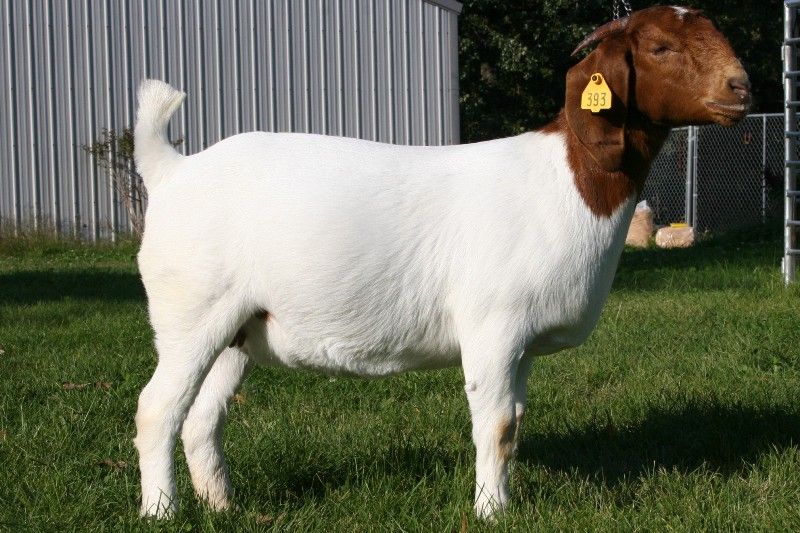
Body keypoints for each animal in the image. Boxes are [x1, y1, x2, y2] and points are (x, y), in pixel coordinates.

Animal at [133, 6, 750, 519]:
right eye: (660, 47)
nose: (740, 87)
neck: (565, 183)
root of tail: (172, 170)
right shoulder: (493, 329)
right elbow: (496, 427)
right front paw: (492, 512)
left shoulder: (522, 345)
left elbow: (515, 424)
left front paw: (504, 501)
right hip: (191, 312)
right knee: (157, 409)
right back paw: (161, 512)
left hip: (237, 328)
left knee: (201, 419)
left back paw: (222, 506)